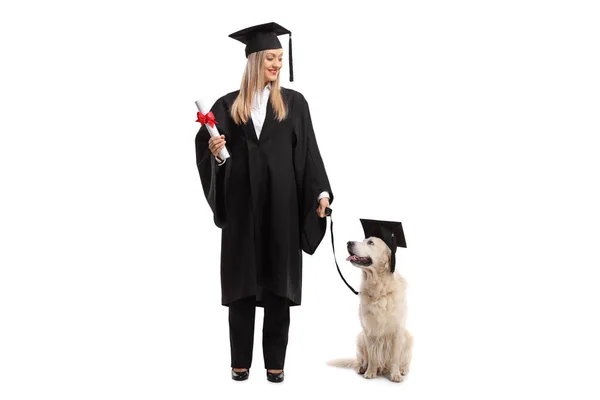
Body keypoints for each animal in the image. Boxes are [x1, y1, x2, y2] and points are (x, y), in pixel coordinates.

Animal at [328, 236, 412, 382]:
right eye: (364, 240)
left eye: (371, 243)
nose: (349, 242)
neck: (379, 288)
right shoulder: (369, 329)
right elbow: (372, 355)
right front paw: (371, 372)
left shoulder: (397, 329)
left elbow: (395, 356)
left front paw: (395, 374)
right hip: (360, 338)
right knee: (362, 359)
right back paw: (362, 368)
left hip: (408, 337)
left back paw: (403, 370)